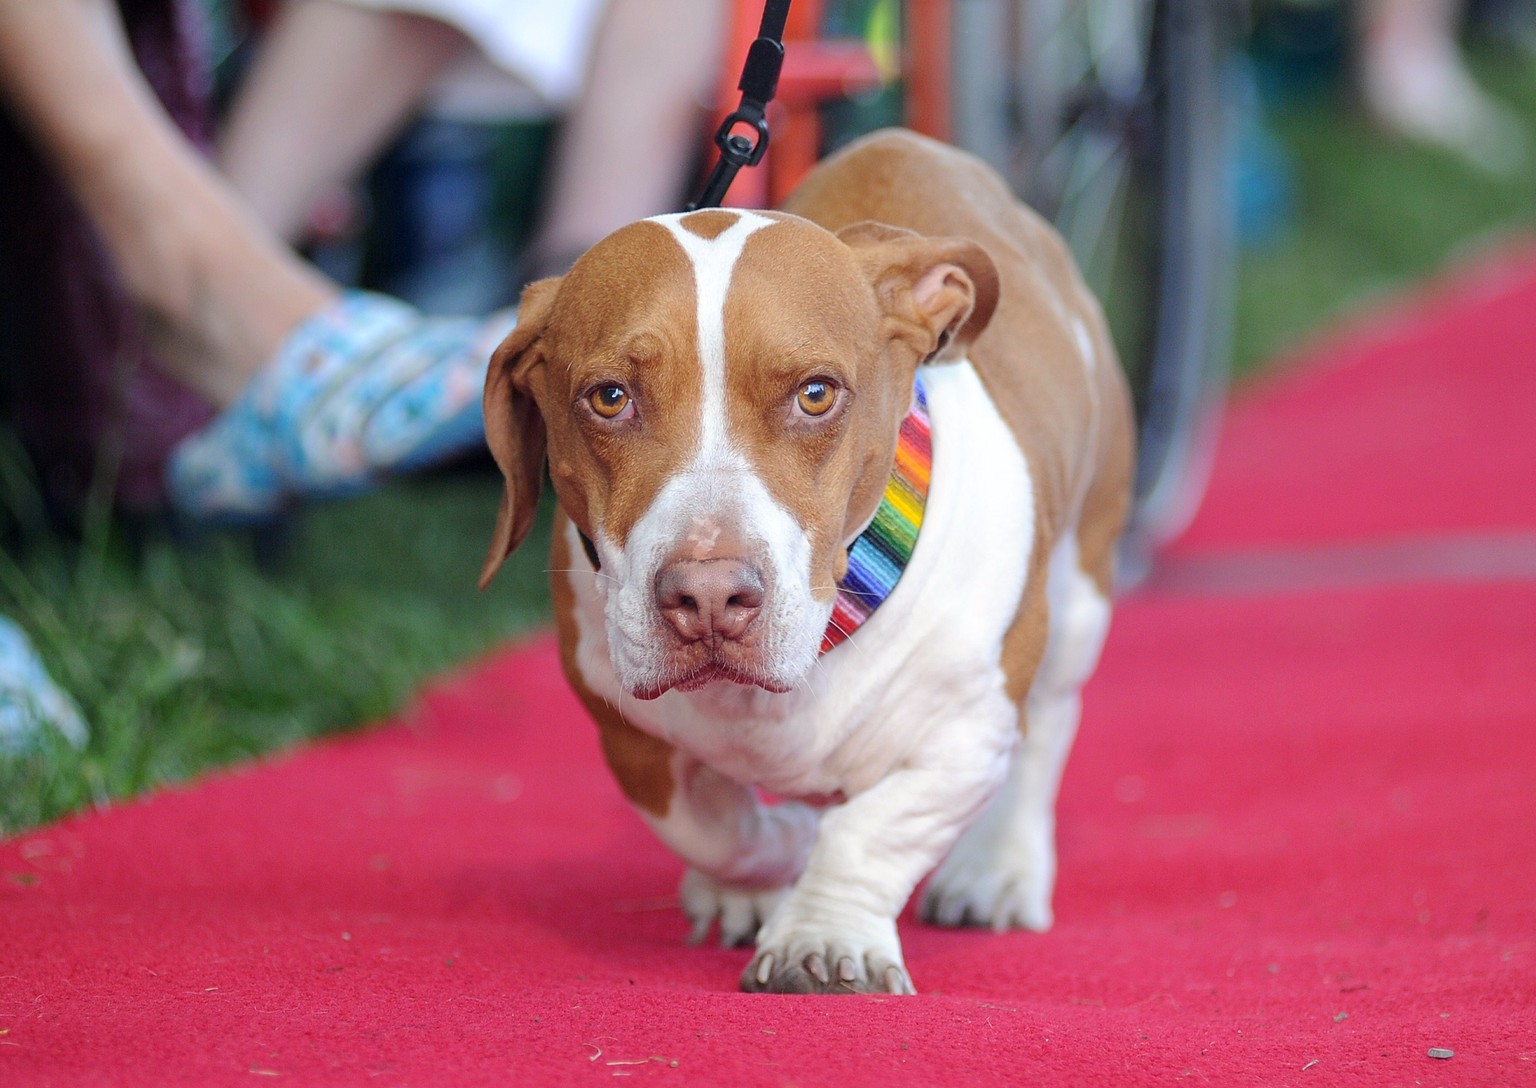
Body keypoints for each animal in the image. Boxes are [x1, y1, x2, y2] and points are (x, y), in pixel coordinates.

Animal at [485, 127, 1136, 995]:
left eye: (817, 394)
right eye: (610, 397)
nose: (709, 596)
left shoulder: (968, 733)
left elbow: (873, 831)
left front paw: (824, 936)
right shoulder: (626, 730)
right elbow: (714, 826)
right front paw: (767, 864)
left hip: (1080, 596)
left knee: (1051, 726)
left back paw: (1000, 868)